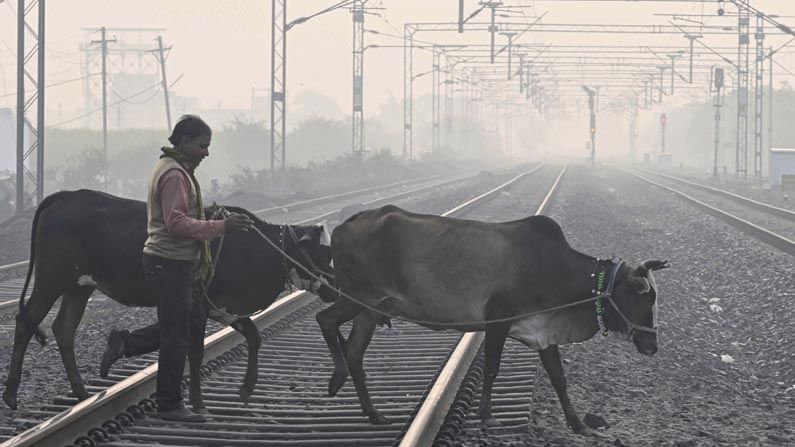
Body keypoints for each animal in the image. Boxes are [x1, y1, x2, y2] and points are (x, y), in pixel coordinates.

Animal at [2, 191, 332, 412]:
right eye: (321, 252)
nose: (333, 287)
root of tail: (66, 195)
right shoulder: (200, 304)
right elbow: (195, 352)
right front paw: (197, 402)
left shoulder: (224, 306)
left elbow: (253, 335)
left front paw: (247, 388)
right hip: (51, 279)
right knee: (26, 321)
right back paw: (11, 395)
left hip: (78, 286)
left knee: (63, 328)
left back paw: (82, 395)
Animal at [314, 206, 668, 434]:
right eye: (642, 298)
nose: (651, 345)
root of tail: (346, 224)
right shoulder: (497, 320)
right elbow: (492, 368)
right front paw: (486, 415)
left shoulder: (544, 332)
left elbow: (559, 379)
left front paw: (578, 424)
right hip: (357, 298)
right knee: (325, 320)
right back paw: (337, 377)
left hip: (369, 310)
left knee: (354, 352)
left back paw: (372, 413)